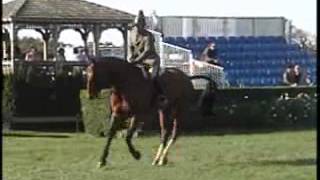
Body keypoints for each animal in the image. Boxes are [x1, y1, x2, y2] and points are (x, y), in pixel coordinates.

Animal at [85, 57, 215, 167]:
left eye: (94, 74)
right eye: (86, 73)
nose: (90, 95)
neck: (125, 83)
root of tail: (187, 77)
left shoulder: (137, 115)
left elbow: (128, 136)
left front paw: (136, 155)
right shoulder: (117, 114)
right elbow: (110, 135)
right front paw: (102, 160)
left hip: (179, 111)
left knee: (174, 133)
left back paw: (161, 159)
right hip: (163, 111)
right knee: (164, 133)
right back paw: (158, 159)